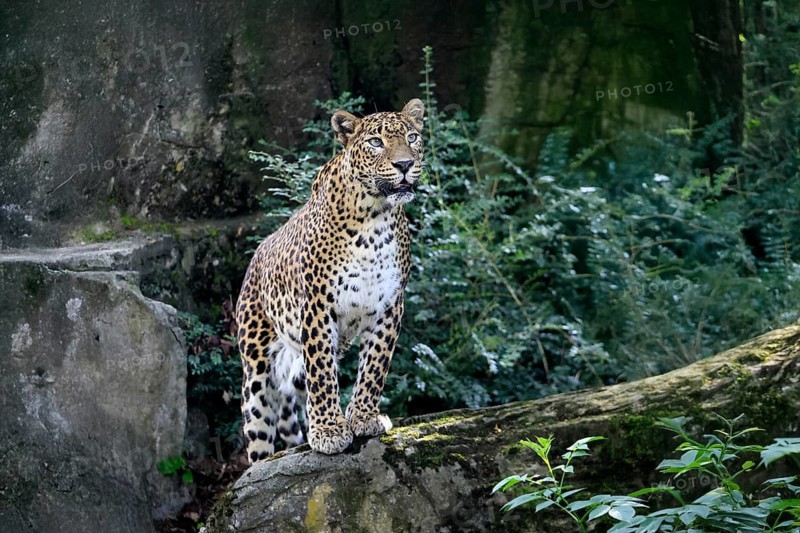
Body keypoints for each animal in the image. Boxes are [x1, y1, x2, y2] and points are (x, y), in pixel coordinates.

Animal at [235, 99, 425, 462]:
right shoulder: (318, 307)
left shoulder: (390, 304)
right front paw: (328, 432)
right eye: (375, 142)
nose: (405, 164)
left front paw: (364, 417)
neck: (375, 216)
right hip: (256, 373)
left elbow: (375, 365)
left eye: (412, 137)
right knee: (258, 435)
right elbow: (322, 373)